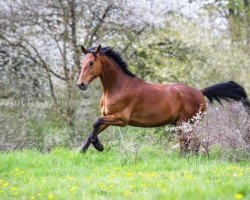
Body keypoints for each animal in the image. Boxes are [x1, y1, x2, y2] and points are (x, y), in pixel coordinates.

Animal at [77, 45, 249, 154]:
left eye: (91, 63)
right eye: (81, 63)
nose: (81, 84)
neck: (117, 87)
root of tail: (200, 92)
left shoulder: (121, 119)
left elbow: (95, 123)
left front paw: (99, 147)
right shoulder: (109, 117)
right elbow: (93, 130)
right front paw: (82, 152)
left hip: (186, 124)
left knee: (192, 144)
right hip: (182, 125)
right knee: (190, 144)